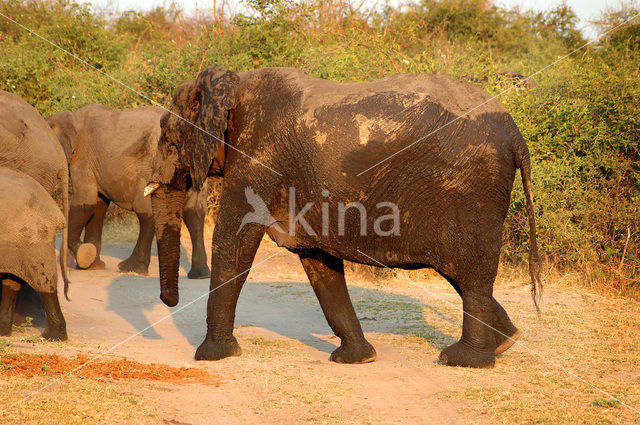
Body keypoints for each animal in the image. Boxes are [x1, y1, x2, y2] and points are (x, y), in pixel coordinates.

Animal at [48, 104, 212, 278]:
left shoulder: (82, 158)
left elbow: (85, 203)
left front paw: (81, 258)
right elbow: (98, 205)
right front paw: (92, 265)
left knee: (147, 212)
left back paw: (131, 268)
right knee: (194, 213)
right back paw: (200, 274)